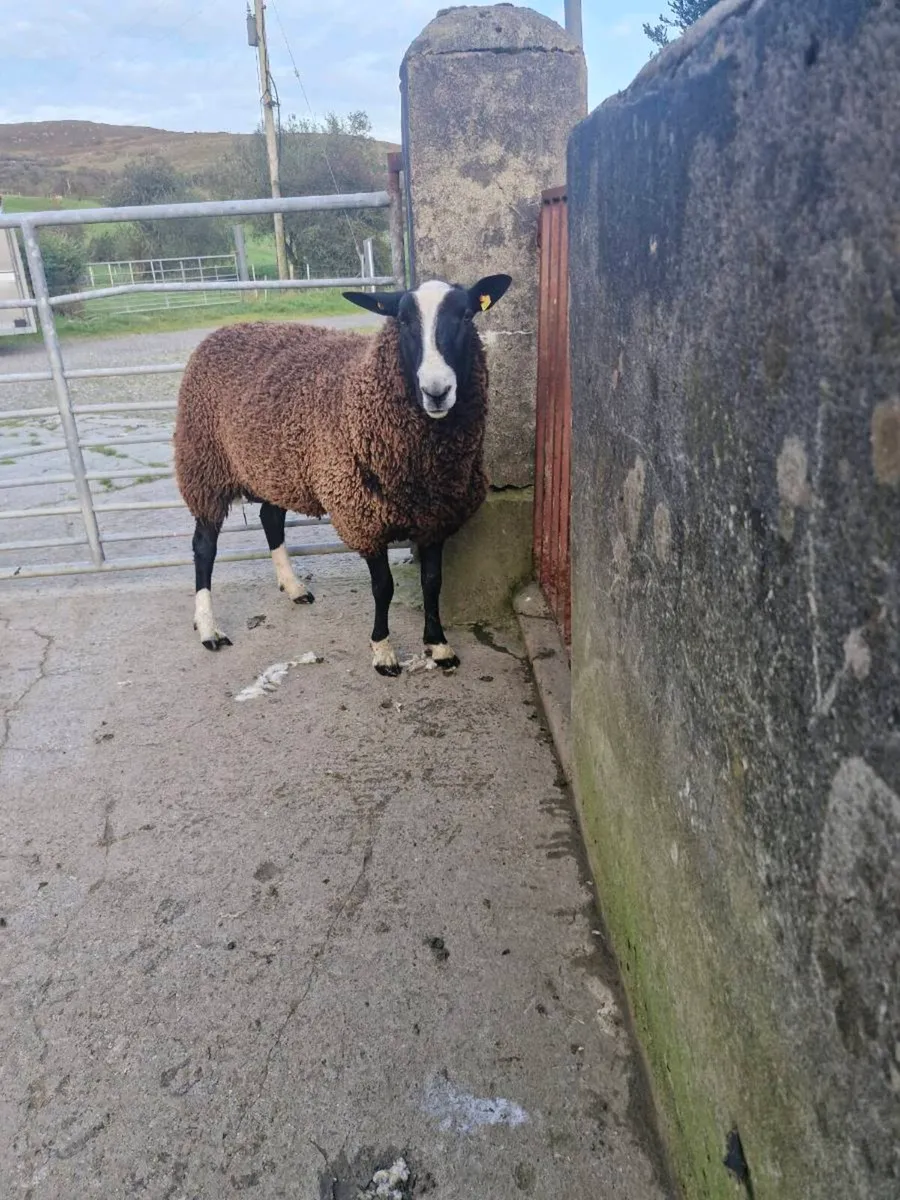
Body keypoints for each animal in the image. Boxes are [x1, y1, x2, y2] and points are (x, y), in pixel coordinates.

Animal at [173, 272, 512, 674]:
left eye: (467, 316)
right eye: (403, 321)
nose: (437, 391)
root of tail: (222, 331)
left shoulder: (435, 516)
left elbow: (433, 581)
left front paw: (439, 645)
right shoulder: (361, 516)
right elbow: (384, 588)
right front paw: (383, 651)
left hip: (276, 468)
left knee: (270, 518)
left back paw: (294, 588)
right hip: (203, 465)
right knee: (203, 547)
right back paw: (208, 628)